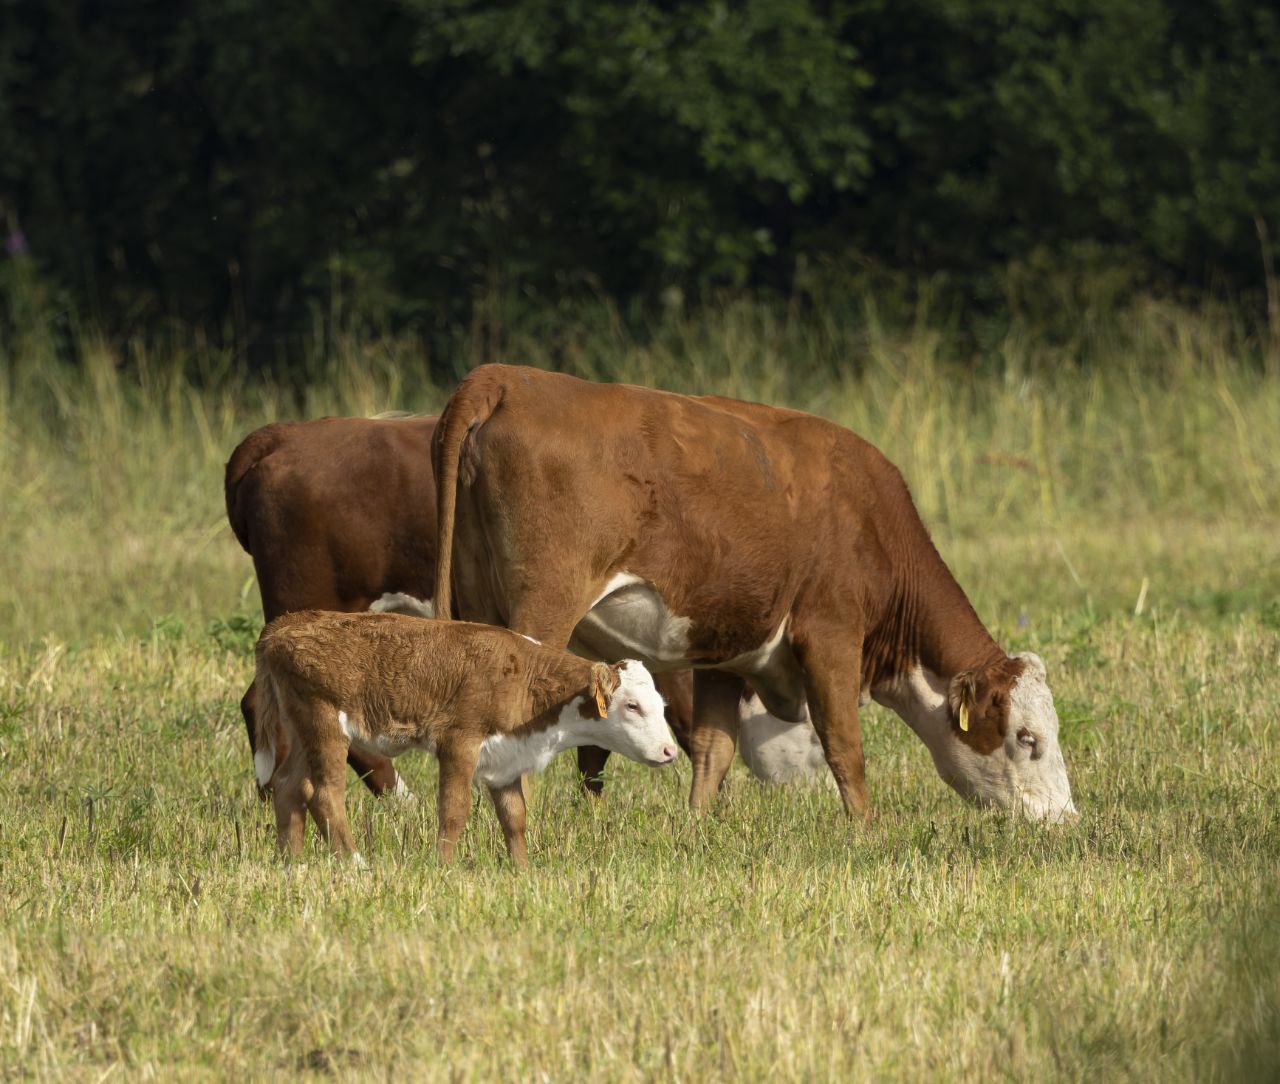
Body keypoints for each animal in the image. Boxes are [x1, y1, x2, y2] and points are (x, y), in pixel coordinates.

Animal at [254, 611, 678, 865]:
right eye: (632, 706)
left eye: (660, 705)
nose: (668, 750)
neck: (527, 680)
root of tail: (286, 625)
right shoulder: (459, 742)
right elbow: (454, 810)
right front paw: (443, 868)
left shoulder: (507, 758)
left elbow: (514, 817)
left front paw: (522, 871)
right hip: (324, 721)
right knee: (324, 792)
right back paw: (355, 864)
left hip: (300, 726)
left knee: (288, 785)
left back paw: (291, 862)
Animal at [432, 364, 1076, 822]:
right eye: (1028, 737)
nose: (1064, 819)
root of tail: (505, 377)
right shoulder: (831, 634)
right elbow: (845, 744)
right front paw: (867, 832)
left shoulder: (724, 649)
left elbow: (712, 750)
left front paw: (696, 829)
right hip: (545, 606)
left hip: (476, 600)